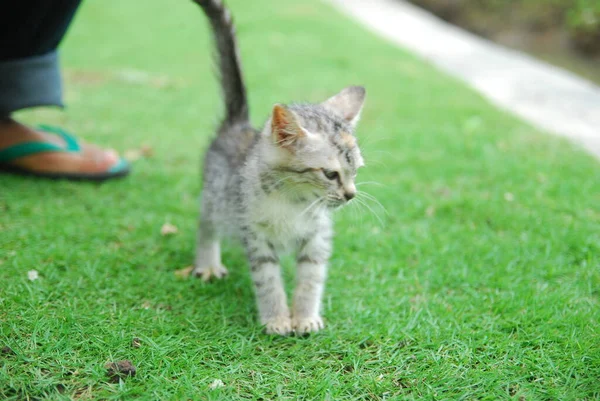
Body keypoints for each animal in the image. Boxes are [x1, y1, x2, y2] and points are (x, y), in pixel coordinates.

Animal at [192, 0, 366, 334]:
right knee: (206, 224)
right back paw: (207, 263)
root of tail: (236, 125)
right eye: (330, 174)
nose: (350, 195)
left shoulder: (317, 237)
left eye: (355, 171)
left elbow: (311, 277)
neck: (294, 201)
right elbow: (267, 279)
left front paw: (305, 316)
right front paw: (276, 318)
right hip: (215, 196)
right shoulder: (255, 236)